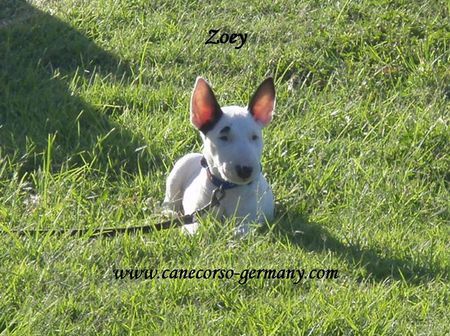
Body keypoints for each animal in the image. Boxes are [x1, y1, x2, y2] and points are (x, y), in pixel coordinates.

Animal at [162, 77, 274, 235]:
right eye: (224, 137)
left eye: (254, 137)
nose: (245, 170)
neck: (227, 188)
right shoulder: (197, 214)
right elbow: (196, 229)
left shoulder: (253, 220)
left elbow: (243, 230)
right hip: (179, 170)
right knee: (169, 202)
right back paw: (171, 214)